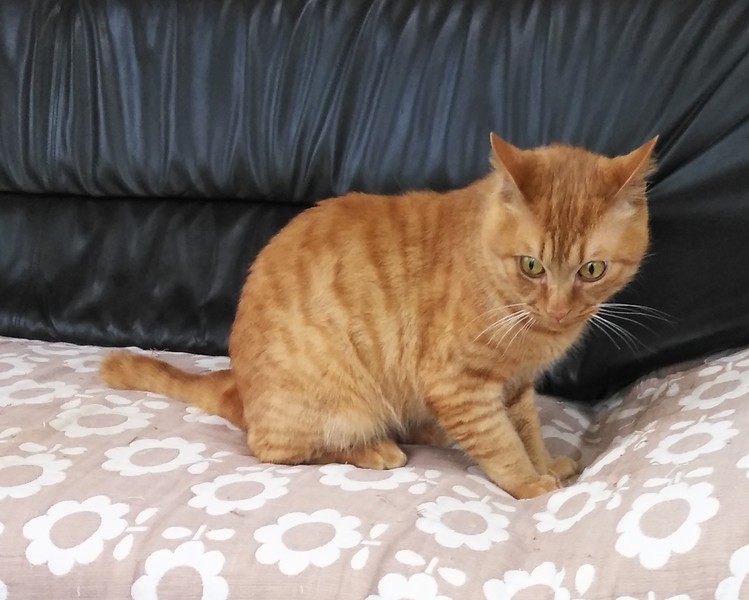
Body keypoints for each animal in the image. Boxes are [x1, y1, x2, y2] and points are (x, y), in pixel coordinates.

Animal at [100, 132, 657, 499]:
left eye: (591, 269)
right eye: (532, 265)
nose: (560, 307)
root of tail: (239, 388)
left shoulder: (515, 387)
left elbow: (526, 432)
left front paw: (547, 463)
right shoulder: (459, 385)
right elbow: (501, 443)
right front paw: (531, 483)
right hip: (339, 404)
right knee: (277, 449)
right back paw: (374, 449)